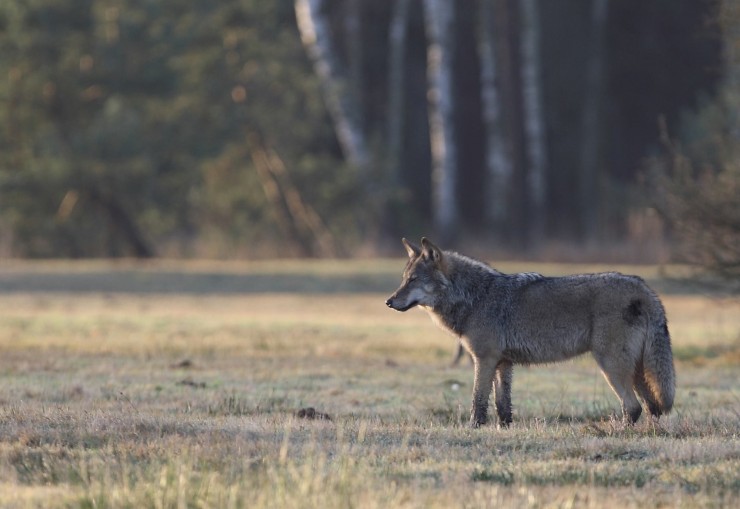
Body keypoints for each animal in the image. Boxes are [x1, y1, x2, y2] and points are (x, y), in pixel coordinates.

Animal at [388, 236, 676, 426]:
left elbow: (478, 401)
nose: (389, 302)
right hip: (636, 371)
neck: (475, 297)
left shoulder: (484, 360)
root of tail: (646, 290)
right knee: (652, 407)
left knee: (633, 407)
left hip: (611, 367)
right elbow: (502, 406)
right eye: (403, 280)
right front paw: (503, 429)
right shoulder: (503, 363)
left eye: (413, 280)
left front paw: (473, 428)